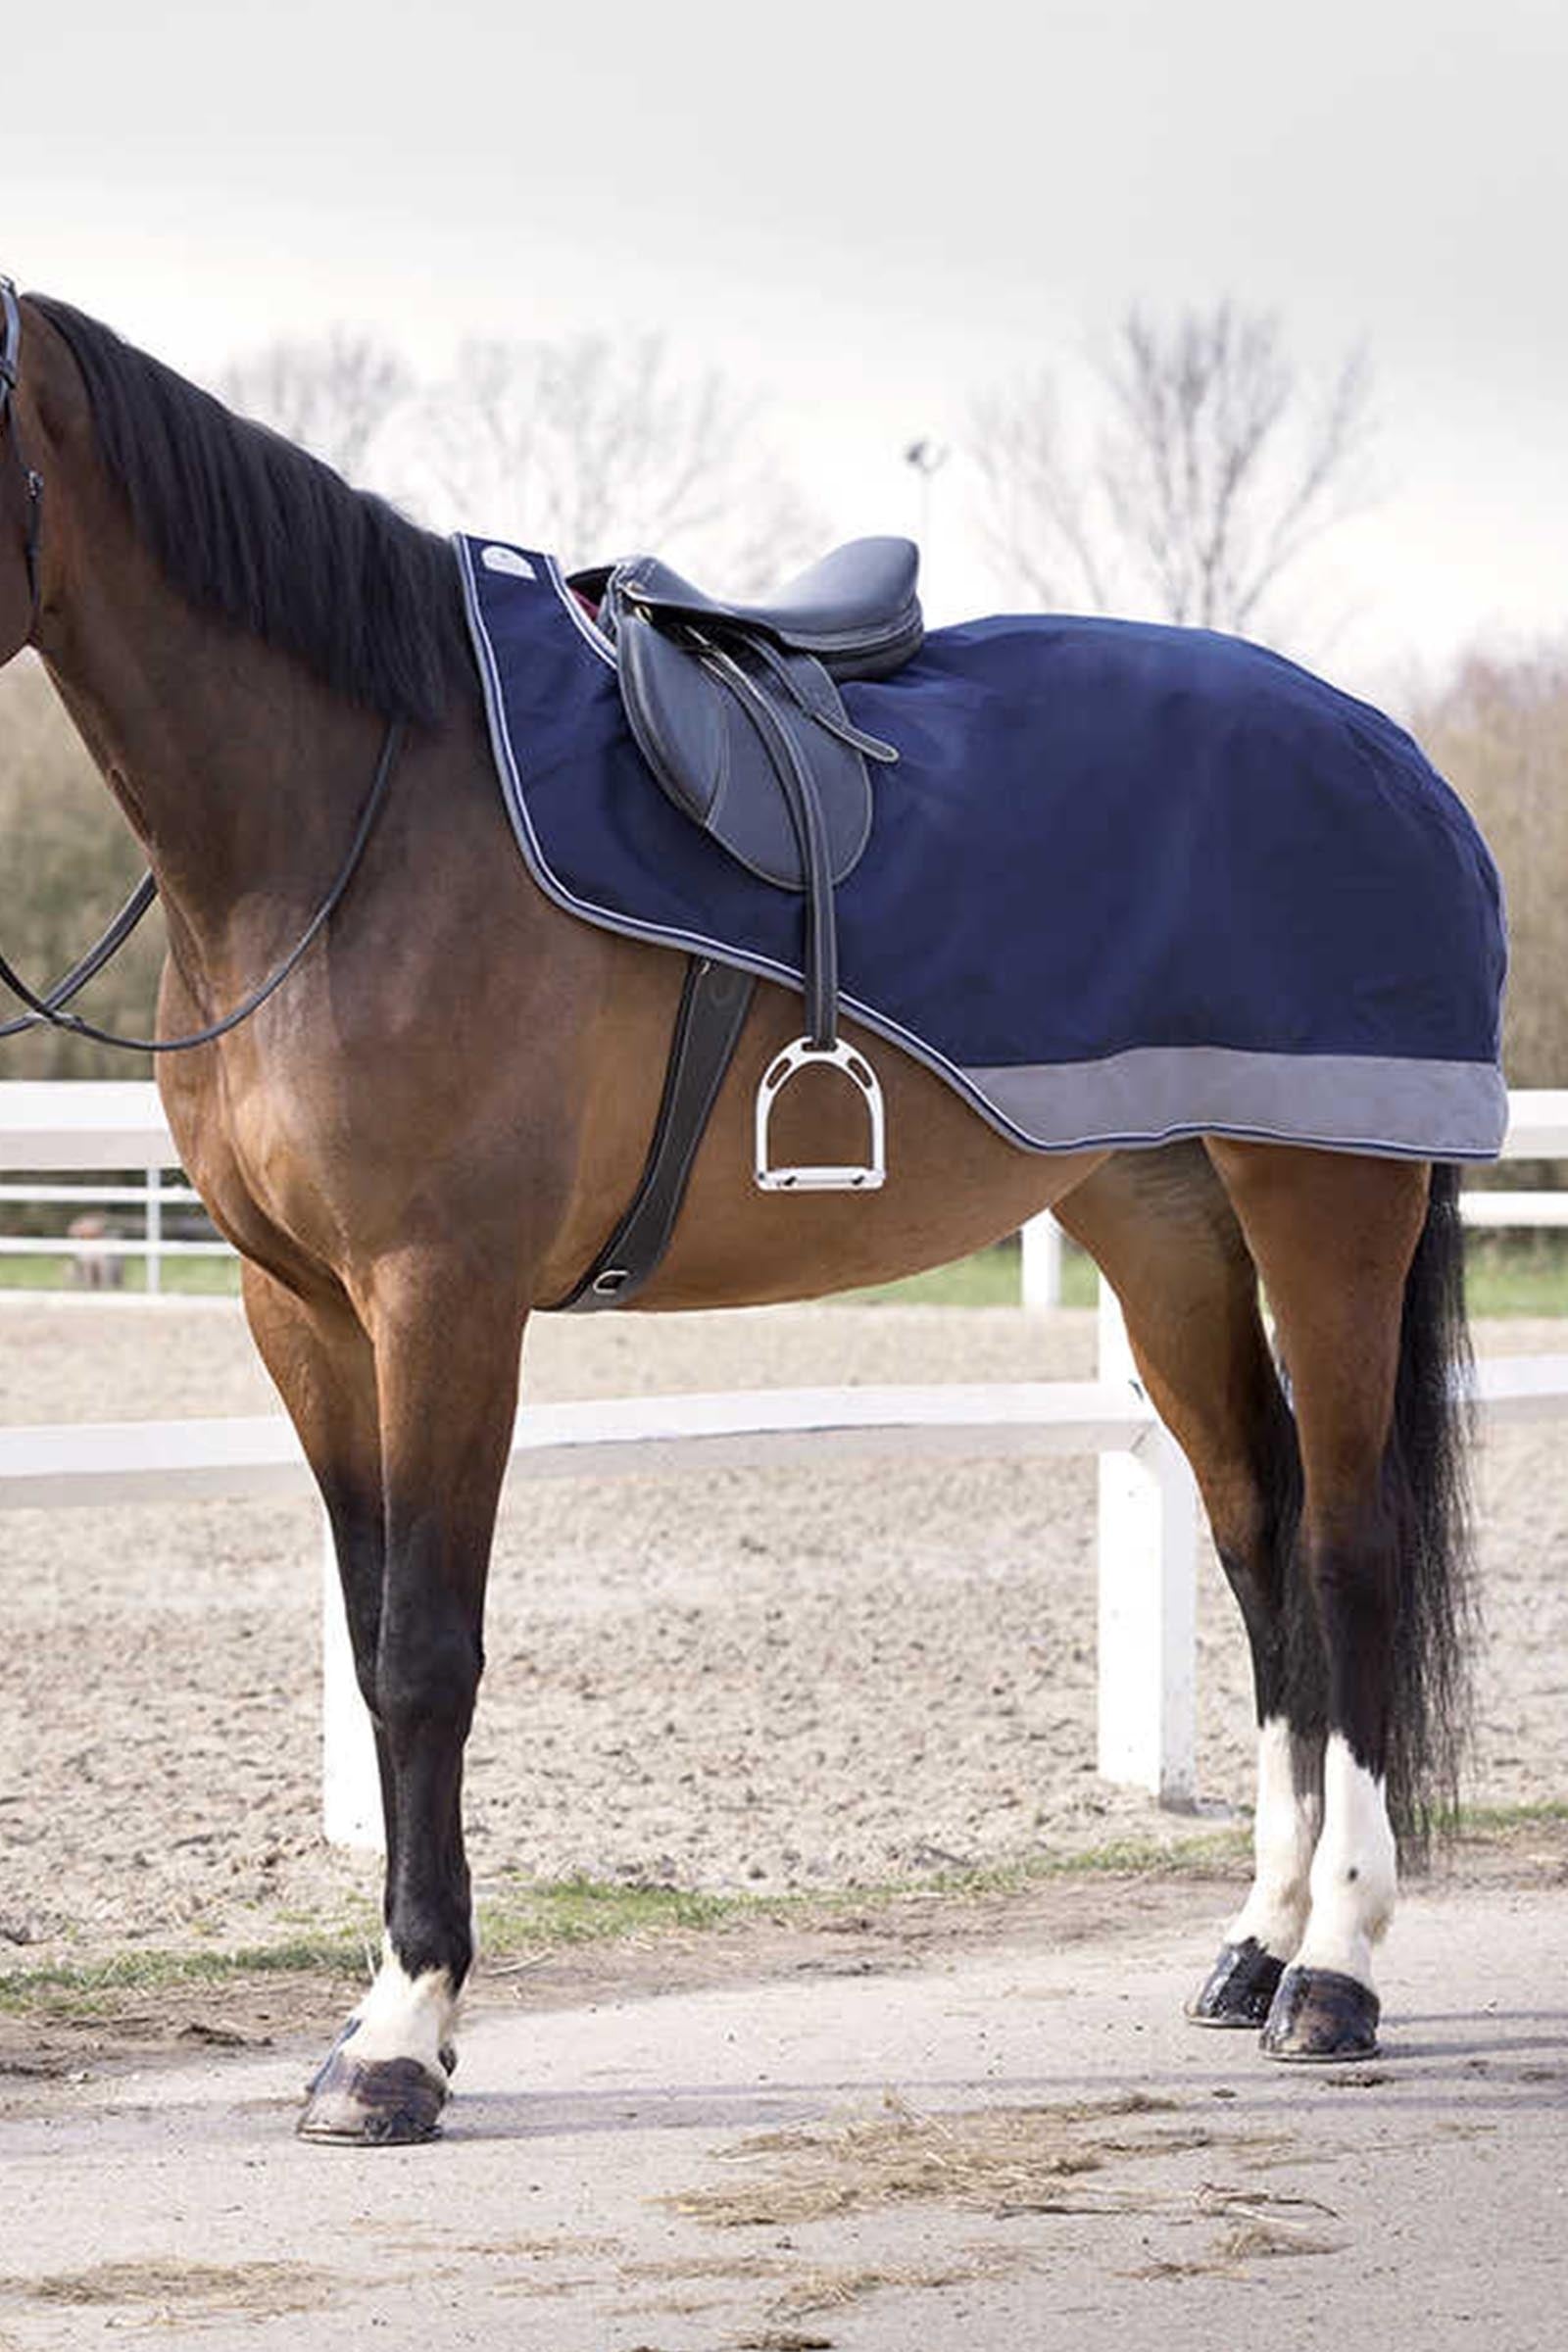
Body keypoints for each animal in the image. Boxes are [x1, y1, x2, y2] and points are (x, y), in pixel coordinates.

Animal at [0, 281, 1503, 2145]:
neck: (348, 816)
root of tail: (1387, 748)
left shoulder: (443, 1297)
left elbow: (424, 1654)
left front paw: (401, 2038)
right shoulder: (303, 1308)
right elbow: (365, 1641)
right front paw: (383, 2010)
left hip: (1327, 1198)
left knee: (1357, 1546)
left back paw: (1338, 1974)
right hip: (1165, 1231)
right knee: (1260, 1540)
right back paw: (1255, 1942)